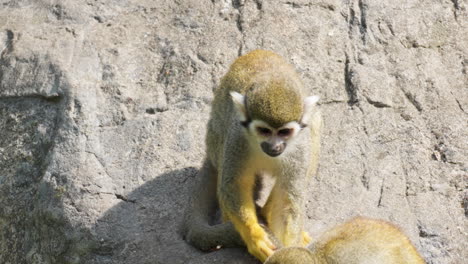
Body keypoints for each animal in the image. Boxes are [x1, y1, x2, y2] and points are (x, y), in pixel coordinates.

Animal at [182, 50, 322, 262]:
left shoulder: (300, 146)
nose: (274, 146)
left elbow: (287, 200)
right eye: (264, 131)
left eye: (284, 132)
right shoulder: (238, 137)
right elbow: (234, 184)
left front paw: (291, 250)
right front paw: (254, 237)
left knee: (315, 122)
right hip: (214, 141)